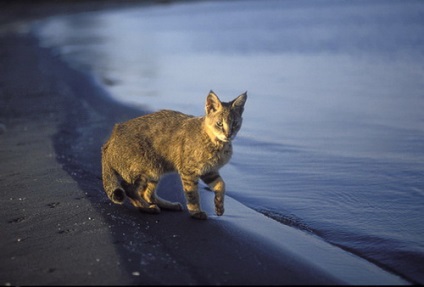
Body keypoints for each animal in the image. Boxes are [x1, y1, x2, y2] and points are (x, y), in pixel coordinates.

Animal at [101, 90, 247, 220]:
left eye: (235, 124)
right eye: (219, 124)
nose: (229, 135)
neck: (218, 144)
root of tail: (110, 139)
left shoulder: (209, 170)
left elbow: (221, 184)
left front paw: (219, 205)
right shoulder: (189, 171)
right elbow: (192, 194)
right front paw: (196, 212)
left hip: (155, 170)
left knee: (146, 193)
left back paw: (166, 205)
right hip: (146, 166)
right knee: (130, 189)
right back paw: (146, 208)